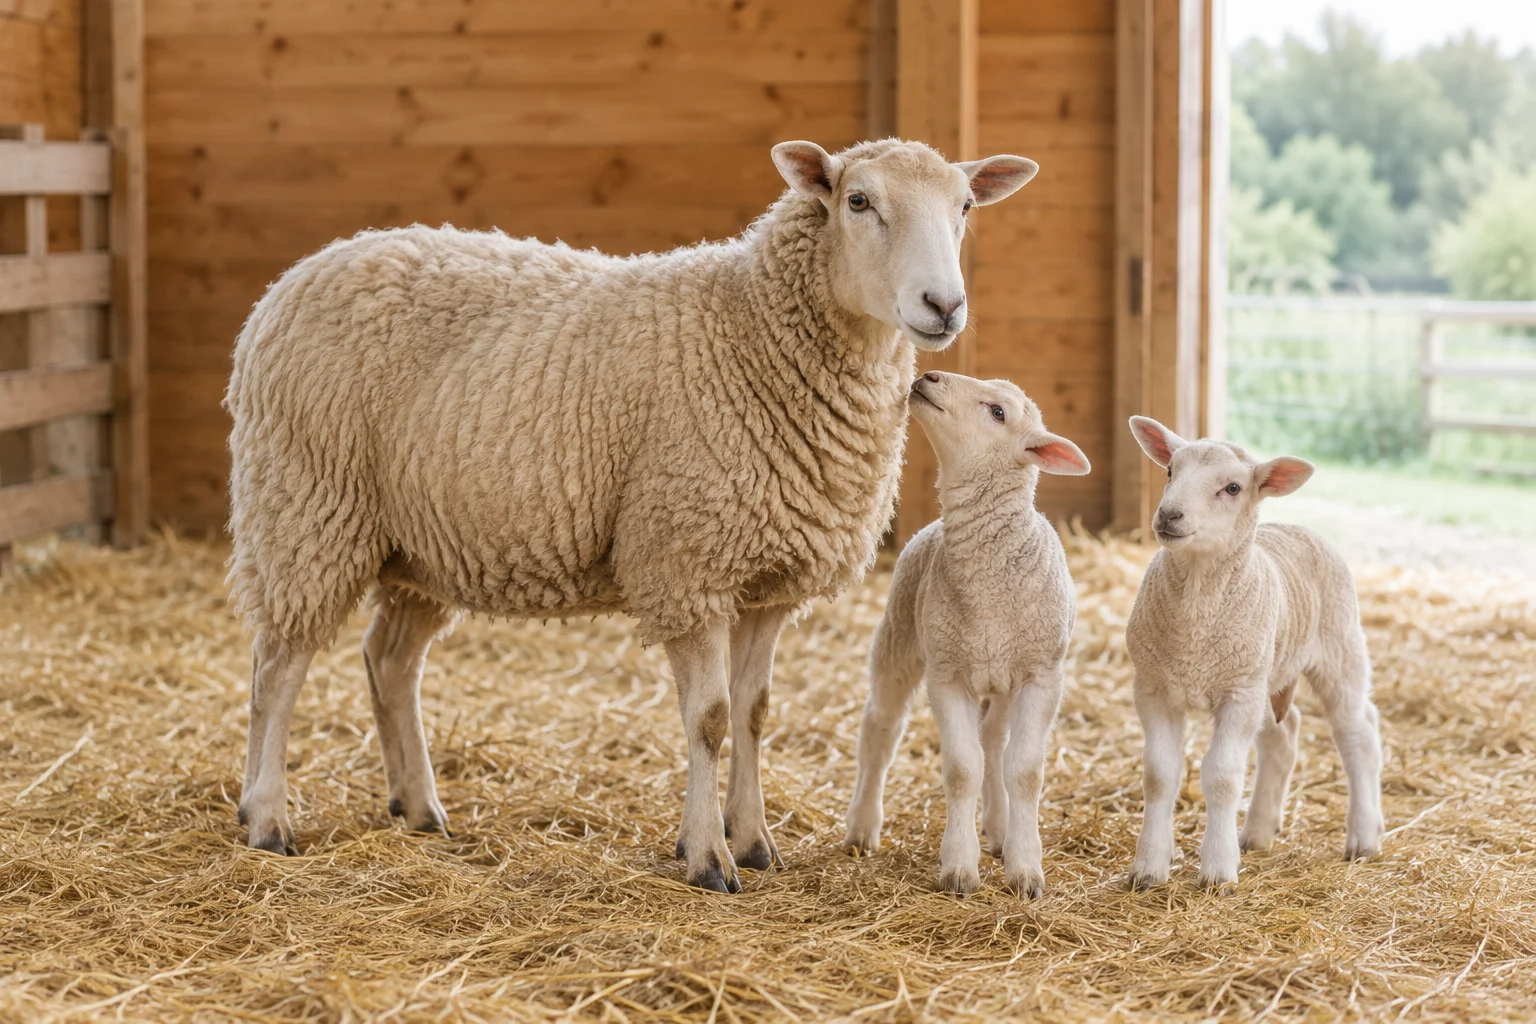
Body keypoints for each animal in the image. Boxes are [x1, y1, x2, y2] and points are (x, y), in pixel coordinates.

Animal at [224, 138, 1040, 893]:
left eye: (966, 206)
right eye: (859, 201)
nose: (943, 306)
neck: (751, 330)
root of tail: (289, 282)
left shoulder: (766, 582)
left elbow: (752, 713)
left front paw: (753, 841)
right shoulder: (688, 561)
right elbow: (708, 718)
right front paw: (709, 858)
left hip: (418, 545)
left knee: (389, 661)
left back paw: (419, 808)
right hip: (307, 507)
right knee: (277, 666)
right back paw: (266, 817)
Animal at [844, 372, 1090, 896]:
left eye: (998, 412)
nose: (928, 376)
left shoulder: (1041, 675)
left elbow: (1024, 771)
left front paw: (1024, 868)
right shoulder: (947, 673)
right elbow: (961, 769)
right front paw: (959, 867)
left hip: (999, 678)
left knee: (994, 744)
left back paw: (998, 829)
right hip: (900, 637)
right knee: (880, 727)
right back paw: (862, 826)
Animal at [1123, 416, 1385, 891]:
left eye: (1232, 488)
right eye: (1170, 470)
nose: (1169, 515)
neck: (1195, 619)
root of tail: (1299, 527)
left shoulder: (1239, 694)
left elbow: (1223, 776)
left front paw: (1217, 870)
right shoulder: (1153, 687)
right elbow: (1159, 775)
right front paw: (1149, 866)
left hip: (1339, 649)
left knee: (1359, 735)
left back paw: (1363, 837)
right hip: (1268, 671)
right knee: (1285, 734)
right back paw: (1258, 832)